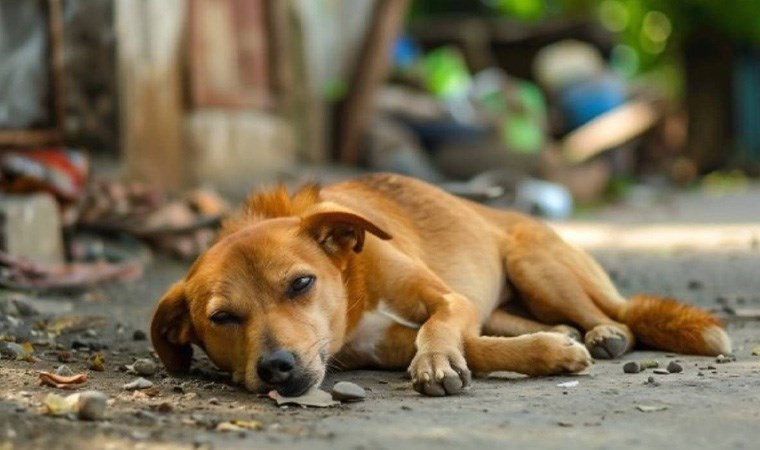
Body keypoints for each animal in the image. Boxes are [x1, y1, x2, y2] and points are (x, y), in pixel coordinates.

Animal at [153, 174, 732, 396]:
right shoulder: (382, 345)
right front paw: (549, 352)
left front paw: (435, 363)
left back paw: (603, 333)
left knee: (617, 316)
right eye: (222, 318)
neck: (354, 286)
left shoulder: (448, 300)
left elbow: (440, 328)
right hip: (508, 300)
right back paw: (567, 334)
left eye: (300, 284)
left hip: (536, 265)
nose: (276, 367)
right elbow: (477, 347)